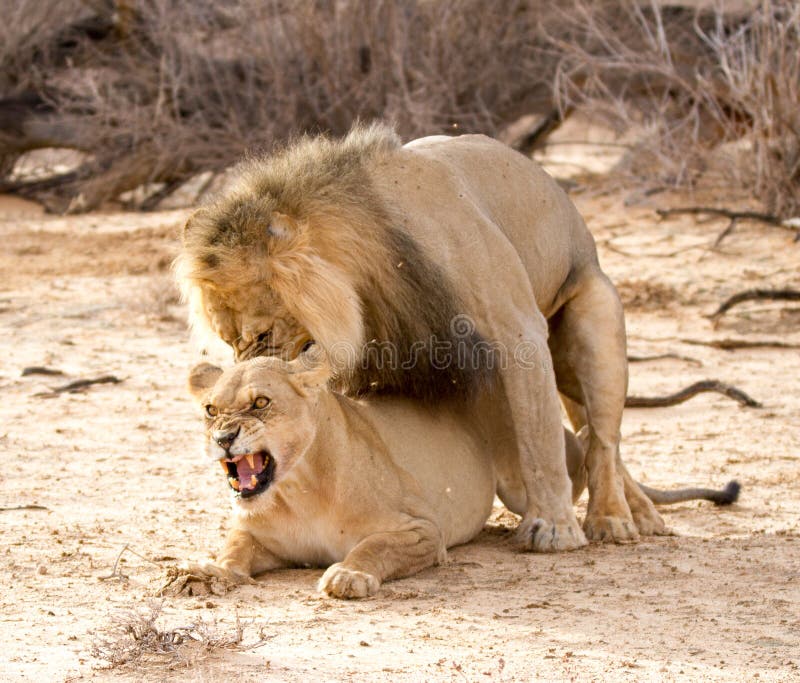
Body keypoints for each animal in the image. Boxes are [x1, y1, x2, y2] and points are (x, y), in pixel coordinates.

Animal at [177, 121, 664, 552]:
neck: (367, 270)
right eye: (228, 341)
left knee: (603, 437)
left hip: (595, 320)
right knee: (594, 433)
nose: (241, 385)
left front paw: (553, 528)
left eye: (262, 333)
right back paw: (641, 511)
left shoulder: (518, 330)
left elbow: (539, 438)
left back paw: (614, 518)